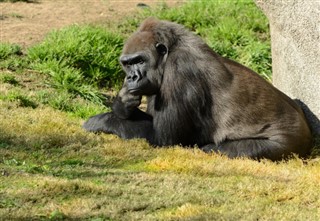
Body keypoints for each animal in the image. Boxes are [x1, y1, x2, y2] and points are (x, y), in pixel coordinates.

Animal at [83, 16, 312, 160]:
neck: (169, 52)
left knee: (215, 150)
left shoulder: (180, 70)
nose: (131, 77)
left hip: (288, 142)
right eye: (127, 63)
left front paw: (102, 120)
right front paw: (121, 104)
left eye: (139, 60)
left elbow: (165, 139)